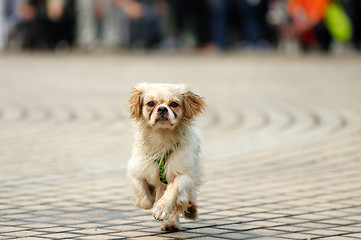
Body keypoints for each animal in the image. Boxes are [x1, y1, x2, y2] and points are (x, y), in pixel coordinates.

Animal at [126, 82, 205, 231]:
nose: (162, 109)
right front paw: (150, 197)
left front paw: (161, 209)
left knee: (188, 195)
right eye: (151, 103)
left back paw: (188, 210)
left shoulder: (182, 174)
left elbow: (172, 192)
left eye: (174, 104)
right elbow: (144, 200)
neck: (162, 138)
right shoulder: (136, 172)